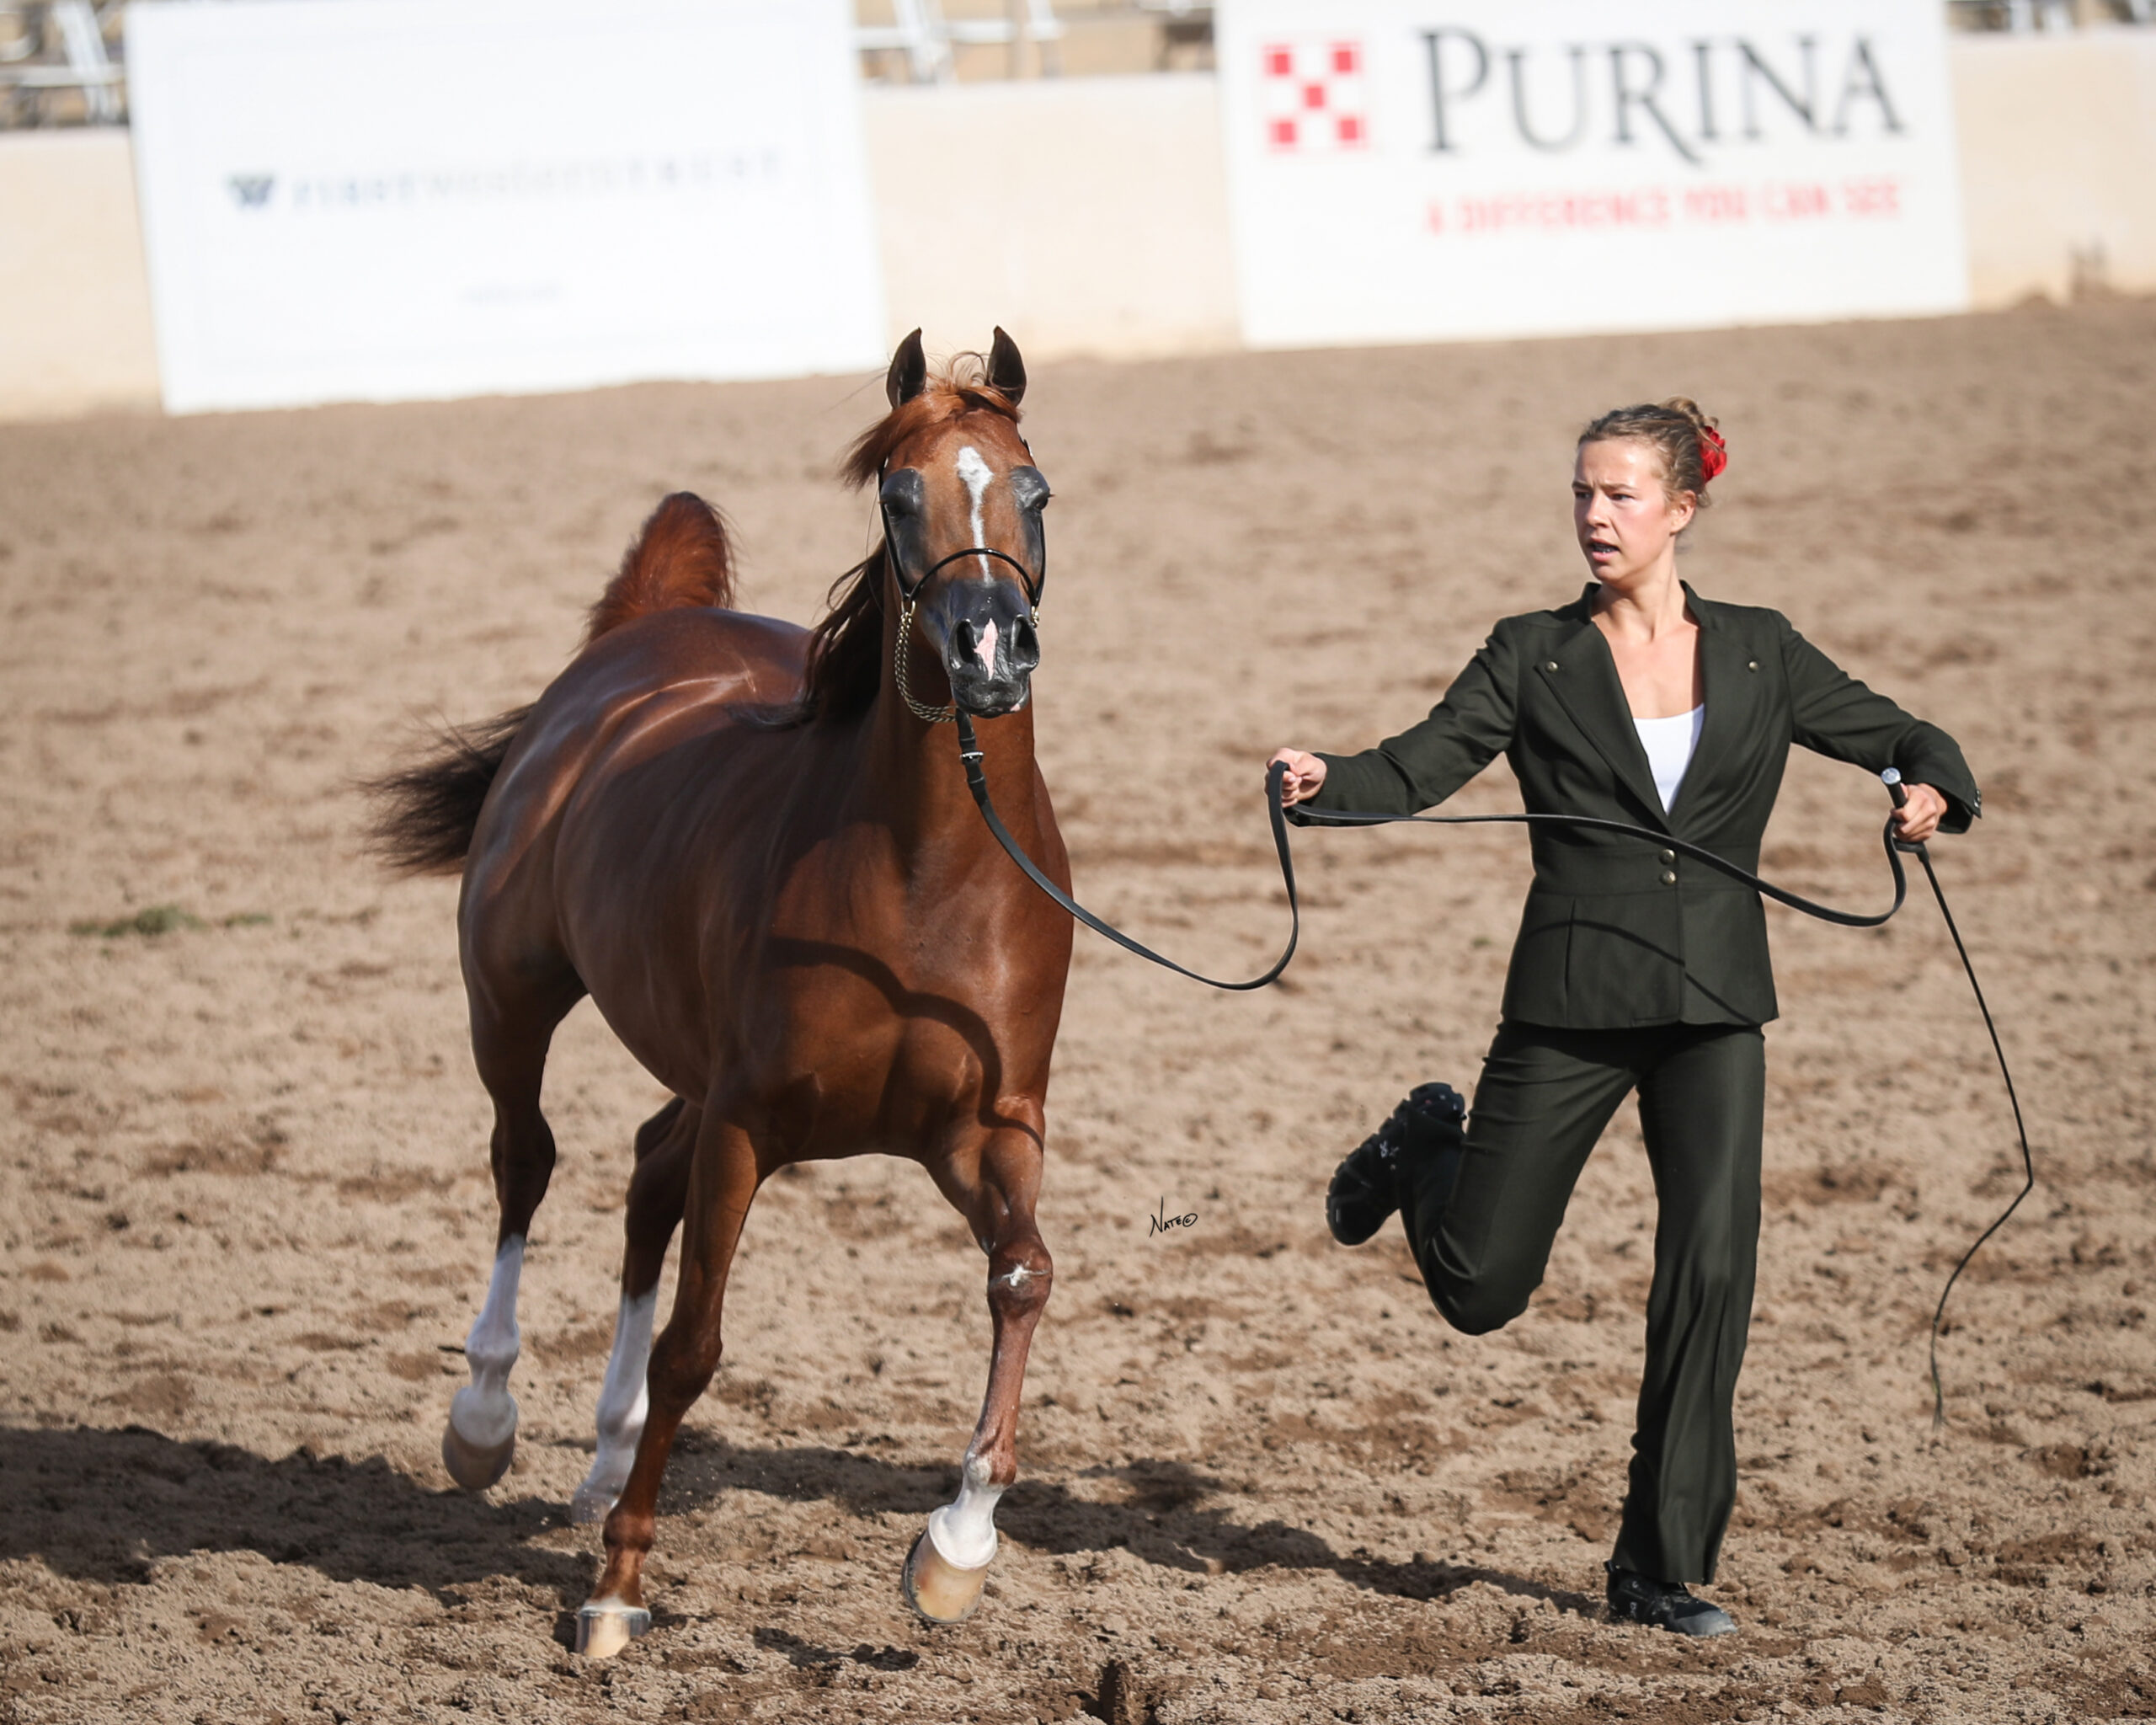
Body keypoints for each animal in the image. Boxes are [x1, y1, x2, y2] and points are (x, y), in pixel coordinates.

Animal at [368, 330, 1071, 1658]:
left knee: (646, 1171)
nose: (990, 652)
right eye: (900, 497)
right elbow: (693, 1345)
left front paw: (954, 1553)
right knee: (525, 1161)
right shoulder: (748, 1124)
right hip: (510, 998)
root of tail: (645, 636)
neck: (924, 876)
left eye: (1035, 489)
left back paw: (601, 1458)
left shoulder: (983, 1130)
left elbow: (1022, 1275)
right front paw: (613, 1589)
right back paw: (484, 1422)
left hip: (683, 1067)